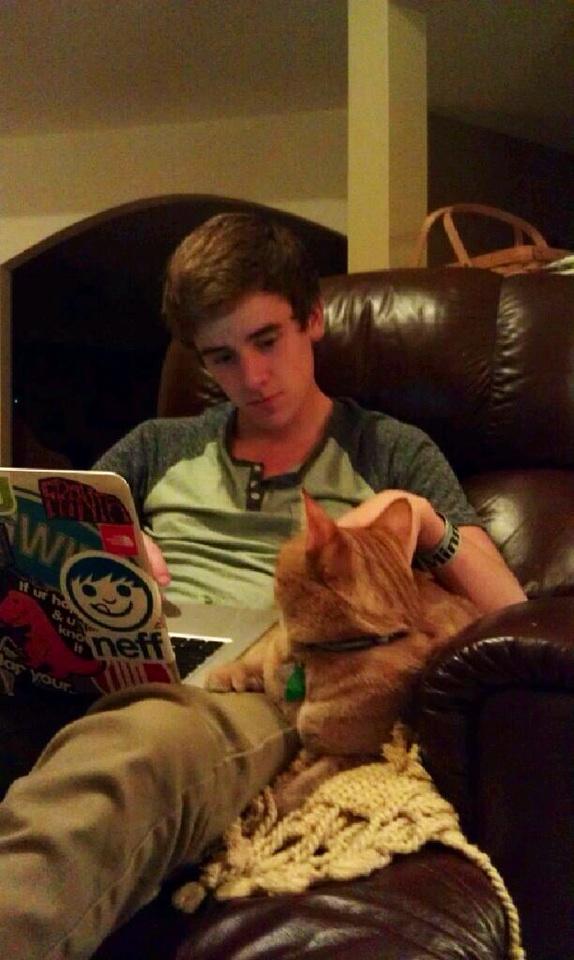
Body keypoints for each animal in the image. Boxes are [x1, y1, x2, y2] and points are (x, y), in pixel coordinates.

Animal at [207, 492, 479, 812]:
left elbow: (303, 785)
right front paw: (229, 673)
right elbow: (261, 657)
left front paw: (276, 801)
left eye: (277, 568)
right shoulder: (276, 648)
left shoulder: (363, 754)